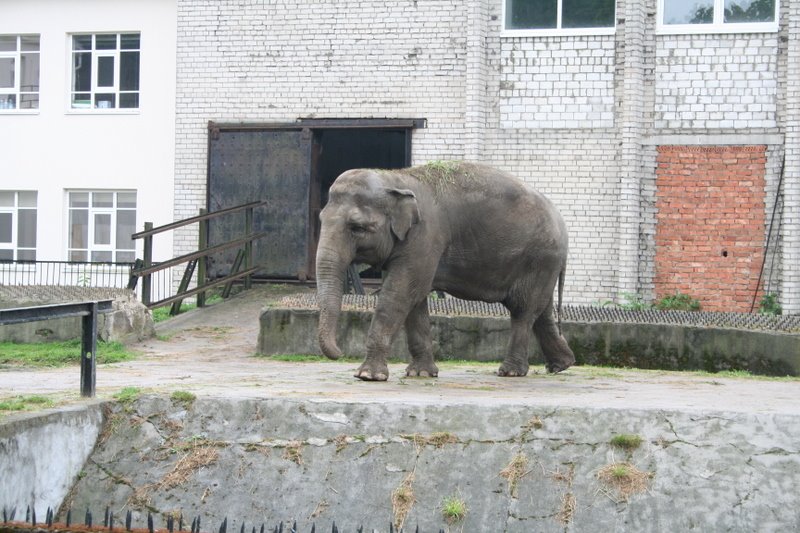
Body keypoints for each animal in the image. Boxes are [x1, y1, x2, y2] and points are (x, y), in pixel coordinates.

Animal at [318, 160, 576, 380]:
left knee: (523, 310)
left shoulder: (425, 237)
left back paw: (511, 372)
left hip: (539, 258)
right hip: (543, 265)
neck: (396, 178)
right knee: (541, 311)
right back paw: (561, 365)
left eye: (357, 227)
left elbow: (400, 294)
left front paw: (368, 376)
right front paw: (420, 373)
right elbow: (415, 299)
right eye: (321, 219)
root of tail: (562, 225)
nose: (340, 352)